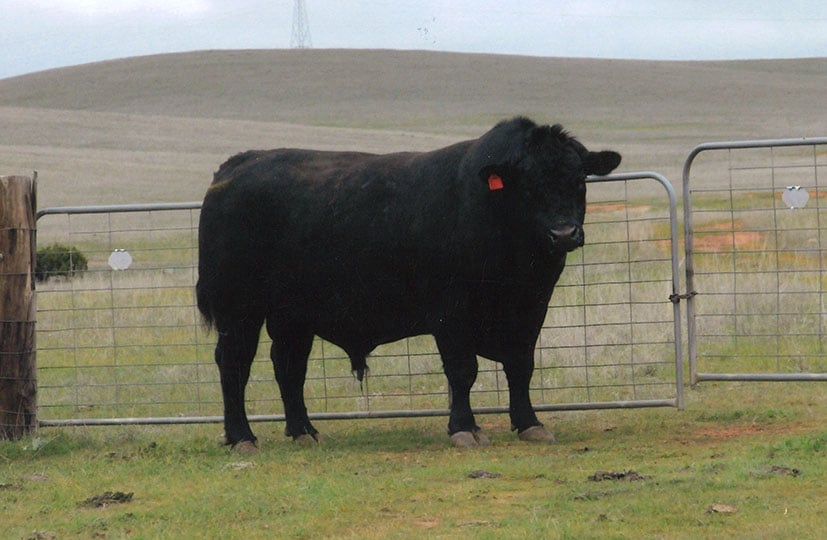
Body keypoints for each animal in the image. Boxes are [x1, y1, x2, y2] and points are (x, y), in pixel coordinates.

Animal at [196, 117, 620, 448]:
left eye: (579, 180)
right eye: (527, 184)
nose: (563, 233)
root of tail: (237, 165)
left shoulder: (531, 306)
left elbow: (521, 365)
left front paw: (530, 423)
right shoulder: (450, 310)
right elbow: (462, 370)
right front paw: (465, 429)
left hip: (292, 314)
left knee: (288, 365)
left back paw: (304, 431)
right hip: (239, 307)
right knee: (234, 362)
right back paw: (242, 437)